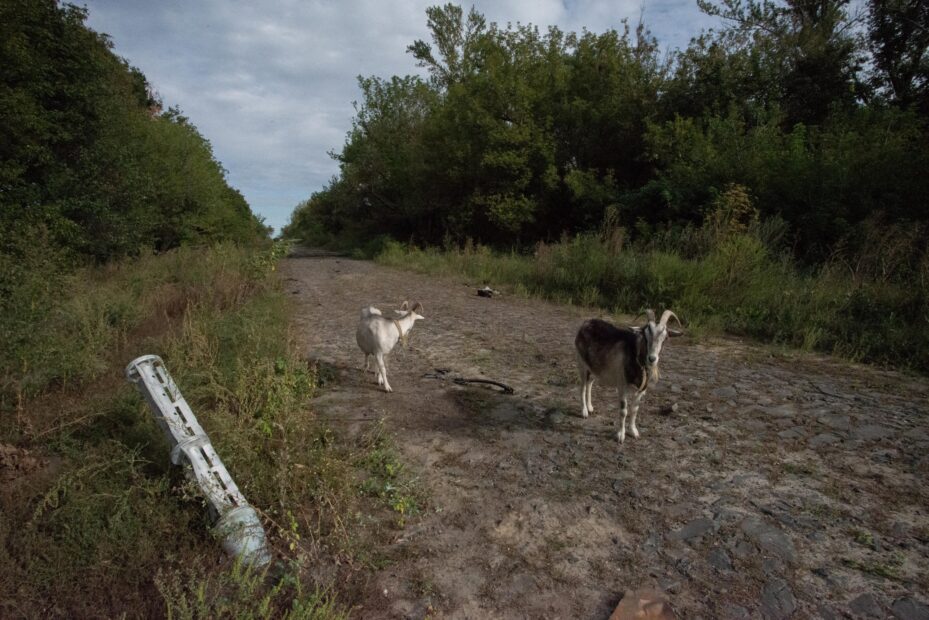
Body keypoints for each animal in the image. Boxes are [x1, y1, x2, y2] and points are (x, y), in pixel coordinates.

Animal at [572, 308, 680, 440]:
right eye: (645, 336)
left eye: (665, 338)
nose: (652, 359)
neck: (635, 356)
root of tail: (586, 323)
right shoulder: (622, 385)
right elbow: (623, 410)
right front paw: (620, 435)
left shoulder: (641, 390)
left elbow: (634, 410)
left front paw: (634, 432)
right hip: (581, 363)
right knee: (582, 386)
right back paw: (584, 412)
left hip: (594, 368)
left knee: (589, 384)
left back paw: (590, 407)